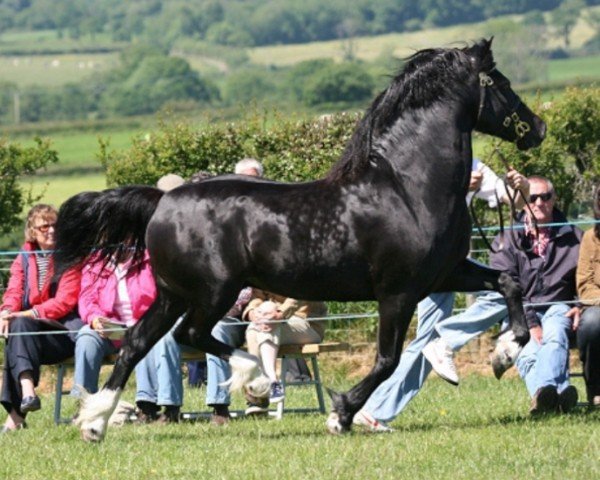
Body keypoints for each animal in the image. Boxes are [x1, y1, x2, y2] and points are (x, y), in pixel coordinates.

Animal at [55, 38, 544, 442]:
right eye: (502, 82)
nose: (537, 127)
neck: (408, 188)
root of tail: (163, 201)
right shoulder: (398, 292)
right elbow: (386, 360)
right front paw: (341, 415)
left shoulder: (445, 274)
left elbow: (508, 284)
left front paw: (504, 353)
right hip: (214, 291)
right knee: (190, 334)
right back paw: (253, 379)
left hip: (174, 293)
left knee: (138, 343)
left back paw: (95, 424)